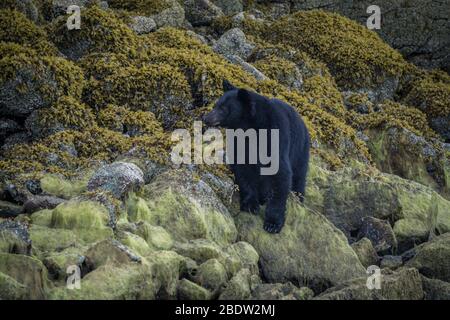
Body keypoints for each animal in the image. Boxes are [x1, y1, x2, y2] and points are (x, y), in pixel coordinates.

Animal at [204, 81, 310, 234]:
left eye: (223, 109)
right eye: (215, 105)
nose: (205, 118)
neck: (250, 129)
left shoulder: (275, 140)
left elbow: (281, 176)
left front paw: (273, 223)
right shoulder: (240, 145)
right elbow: (244, 171)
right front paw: (250, 204)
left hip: (300, 150)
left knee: (298, 178)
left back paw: (298, 198)